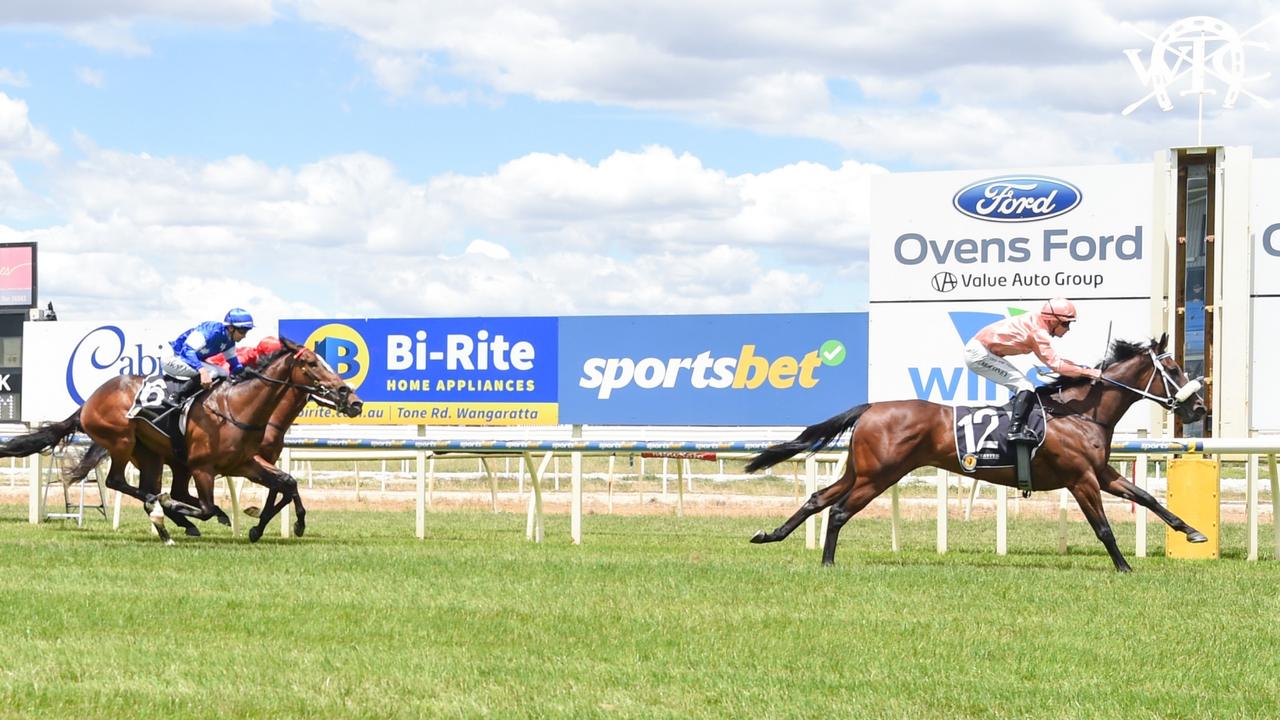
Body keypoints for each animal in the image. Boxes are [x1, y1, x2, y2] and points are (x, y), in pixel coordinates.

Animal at [747, 333, 1203, 571]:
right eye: (1174, 369)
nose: (1199, 407)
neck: (1078, 412)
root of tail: (872, 407)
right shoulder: (1080, 479)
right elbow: (1103, 527)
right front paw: (1124, 566)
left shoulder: (1101, 473)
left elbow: (1146, 498)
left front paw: (1192, 531)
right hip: (880, 475)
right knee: (839, 511)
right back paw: (827, 562)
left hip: (860, 470)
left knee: (817, 499)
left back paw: (769, 534)